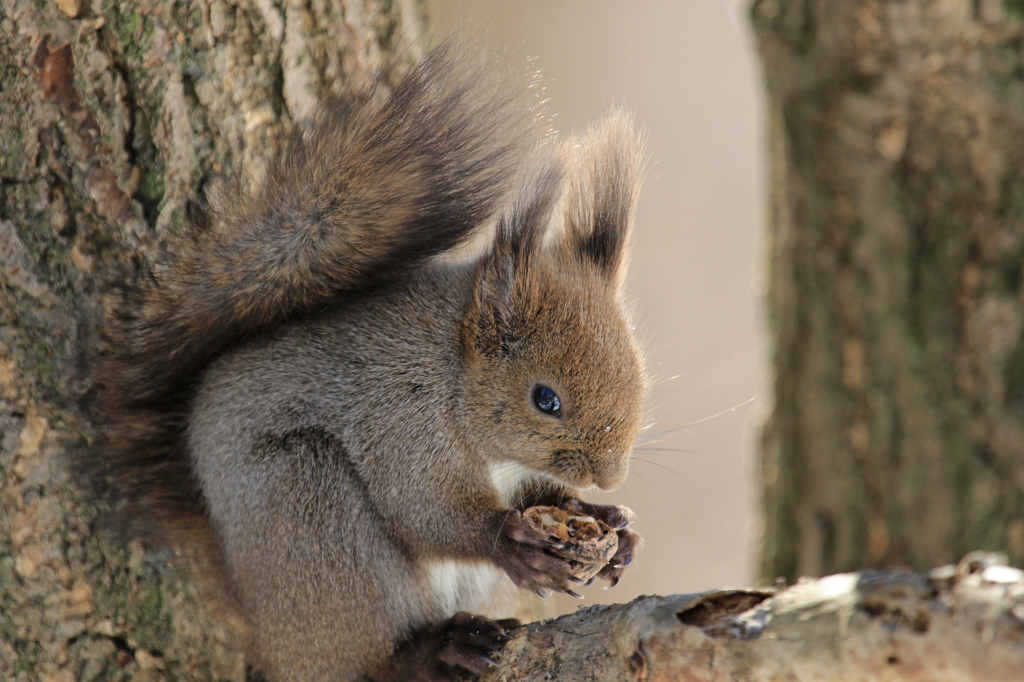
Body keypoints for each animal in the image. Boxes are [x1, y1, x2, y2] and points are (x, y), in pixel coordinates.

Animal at [92, 39, 643, 675]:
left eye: (640, 377)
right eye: (545, 398)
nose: (611, 476)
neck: (450, 371)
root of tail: (258, 621)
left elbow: (540, 497)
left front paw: (609, 524)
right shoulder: (397, 417)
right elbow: (422, 509)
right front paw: (511, 542)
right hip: (310, 517)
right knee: (358, 658)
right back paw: (430, 653)